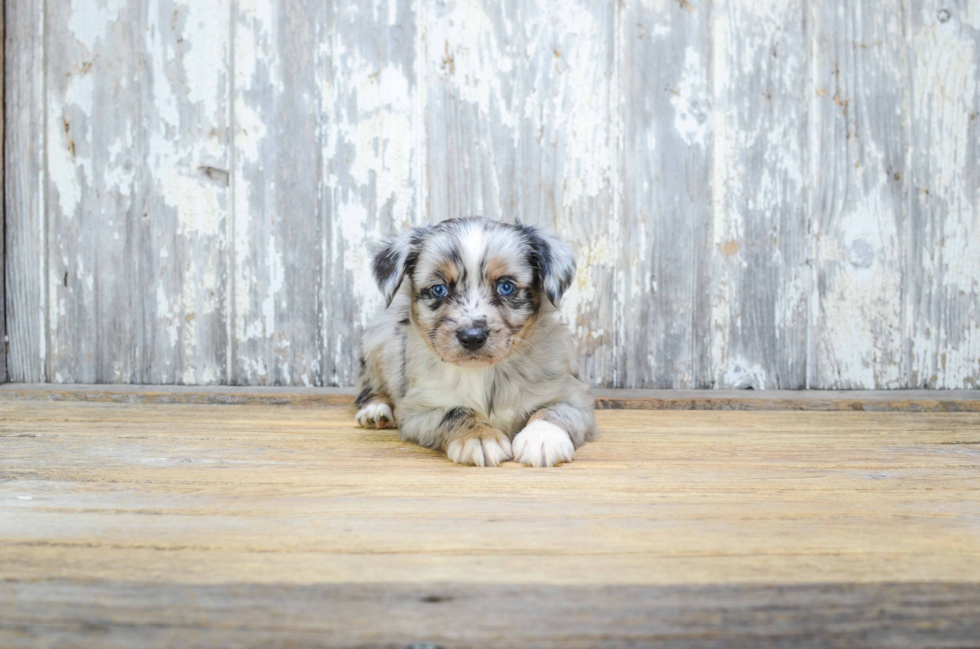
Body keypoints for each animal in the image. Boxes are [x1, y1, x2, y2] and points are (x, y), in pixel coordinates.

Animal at [354, 218, 596, 466]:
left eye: (506, 286)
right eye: (439, 289)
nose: (471, 337)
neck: (484, 373)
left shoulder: (574, 396)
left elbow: (554, 410)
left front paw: (542, 437)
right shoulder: (418, 409)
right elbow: (456, 412)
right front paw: (479, 437)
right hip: (375, 343)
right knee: (370, 388)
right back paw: (375, 411)